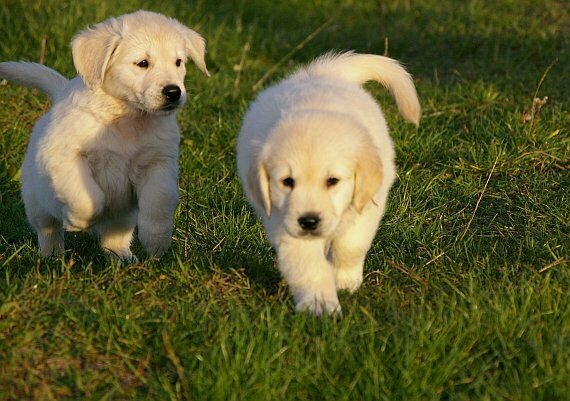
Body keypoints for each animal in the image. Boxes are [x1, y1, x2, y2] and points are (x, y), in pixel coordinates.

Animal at [0, 10, 209, 260]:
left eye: (178, 62)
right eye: (143, 63)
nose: (173, 92)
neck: (126, 118)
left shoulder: (158, 162)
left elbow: (160, 200)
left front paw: (156, 242)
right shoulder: (64, 155)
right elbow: (88, 197)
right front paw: (78, 221)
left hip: (123, 217)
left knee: (115, 236)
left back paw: (122, 257)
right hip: (37, 201)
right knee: (48, 229)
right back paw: (52, 256)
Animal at [235, 52, 418, 316]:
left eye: (332, 181)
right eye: (287, 181)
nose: (309, 221)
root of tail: (325, 72)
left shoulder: (368, 205)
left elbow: (351, 245)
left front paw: (344, 281)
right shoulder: (284, 220)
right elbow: (307, 263)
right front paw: (319, 303)